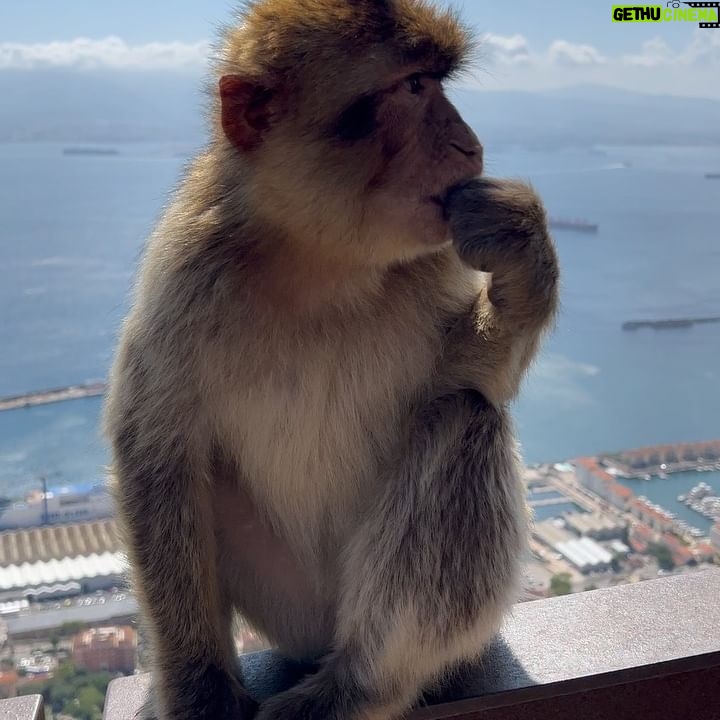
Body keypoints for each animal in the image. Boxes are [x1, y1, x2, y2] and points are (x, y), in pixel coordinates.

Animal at [103, 1, 559, 719]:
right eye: (413, 88)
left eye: (434, 83)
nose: (470, 144)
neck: (323, 264)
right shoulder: (186, 270)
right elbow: (155, 452)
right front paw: (199, 688)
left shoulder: (434, 256)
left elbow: (472, 377)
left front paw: (521, 245)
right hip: (285, 602)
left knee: (464, 418)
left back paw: (361, 686)